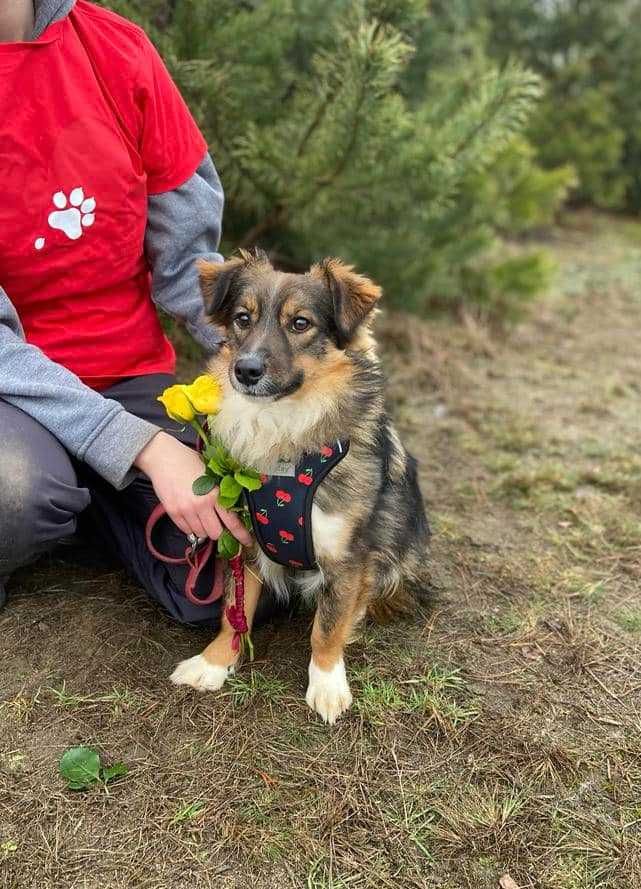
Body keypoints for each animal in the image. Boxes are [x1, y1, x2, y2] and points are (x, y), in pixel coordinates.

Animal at [170, 248, 430, 720]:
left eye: (301, 323)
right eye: (242, 318)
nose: (245, 370)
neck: (285, 430)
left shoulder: (348, 557)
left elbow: (326, 628)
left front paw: (326, 684)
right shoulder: (243, 543)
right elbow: (233, 611)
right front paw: (213, 663)